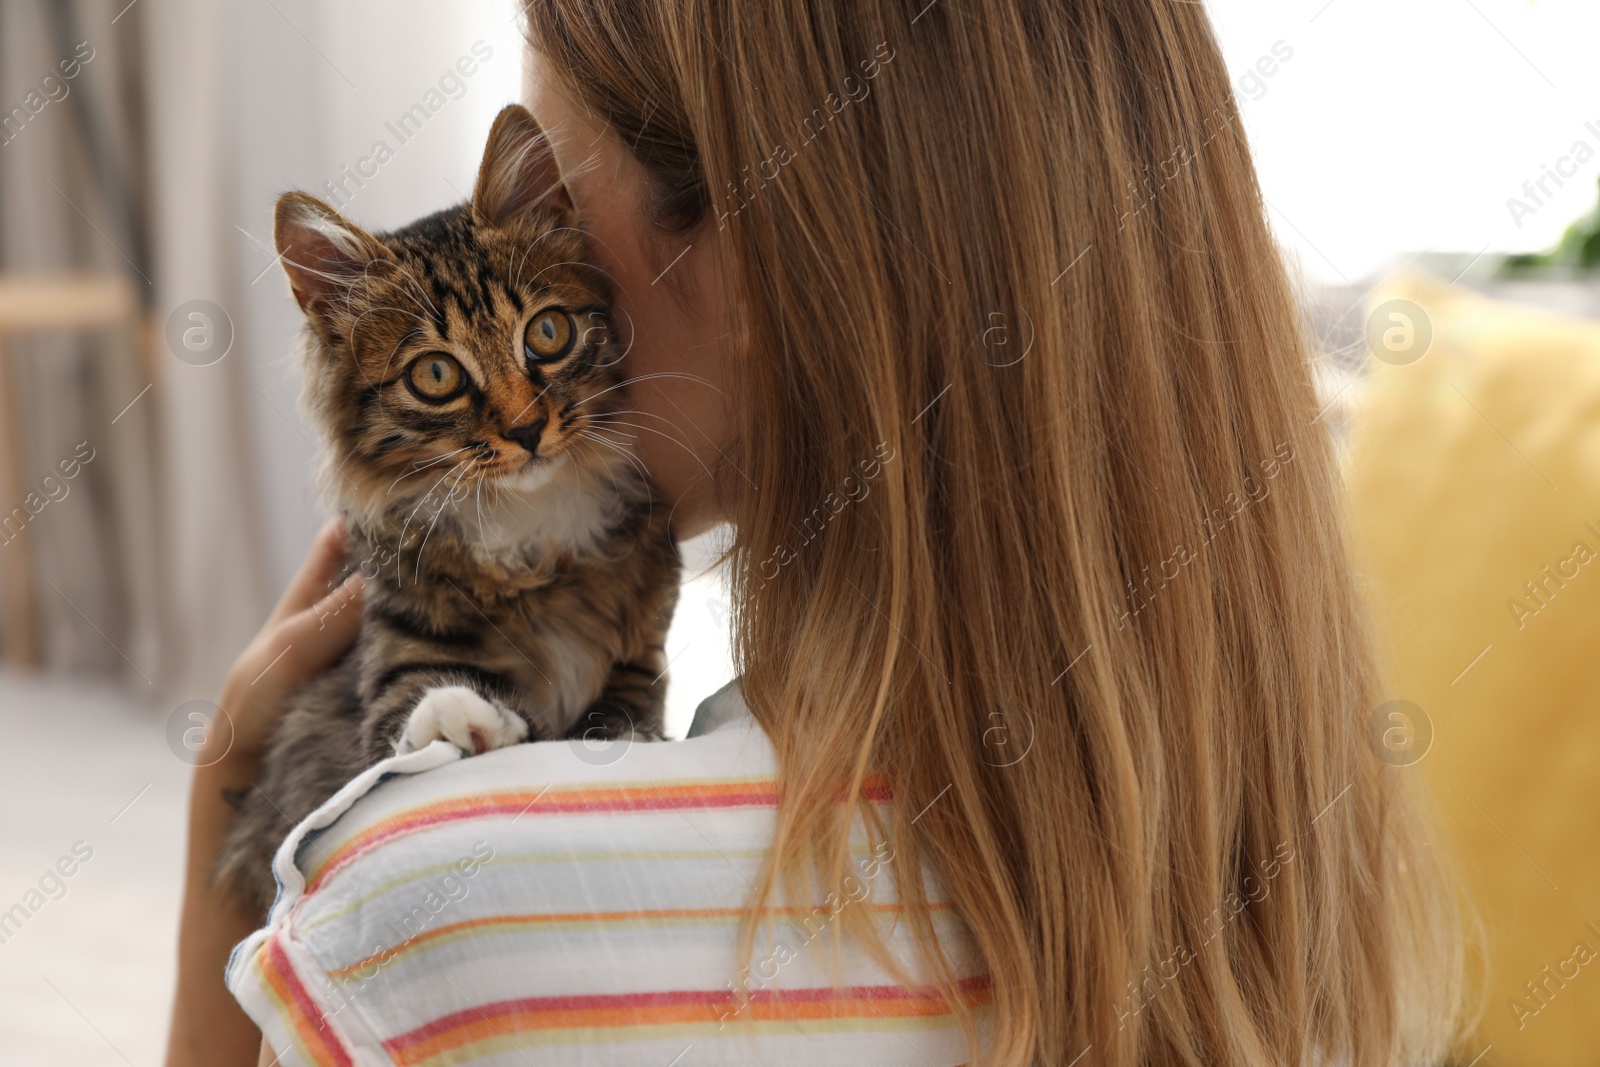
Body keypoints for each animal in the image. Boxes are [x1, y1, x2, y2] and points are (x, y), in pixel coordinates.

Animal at [214, 103, 681, 915]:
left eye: (548, 333)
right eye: (436, 375)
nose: (526, 430)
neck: (531, 524)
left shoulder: (640, 652)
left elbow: (621, 723)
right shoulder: (390, 665)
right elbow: (416, 723)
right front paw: (459, 719)